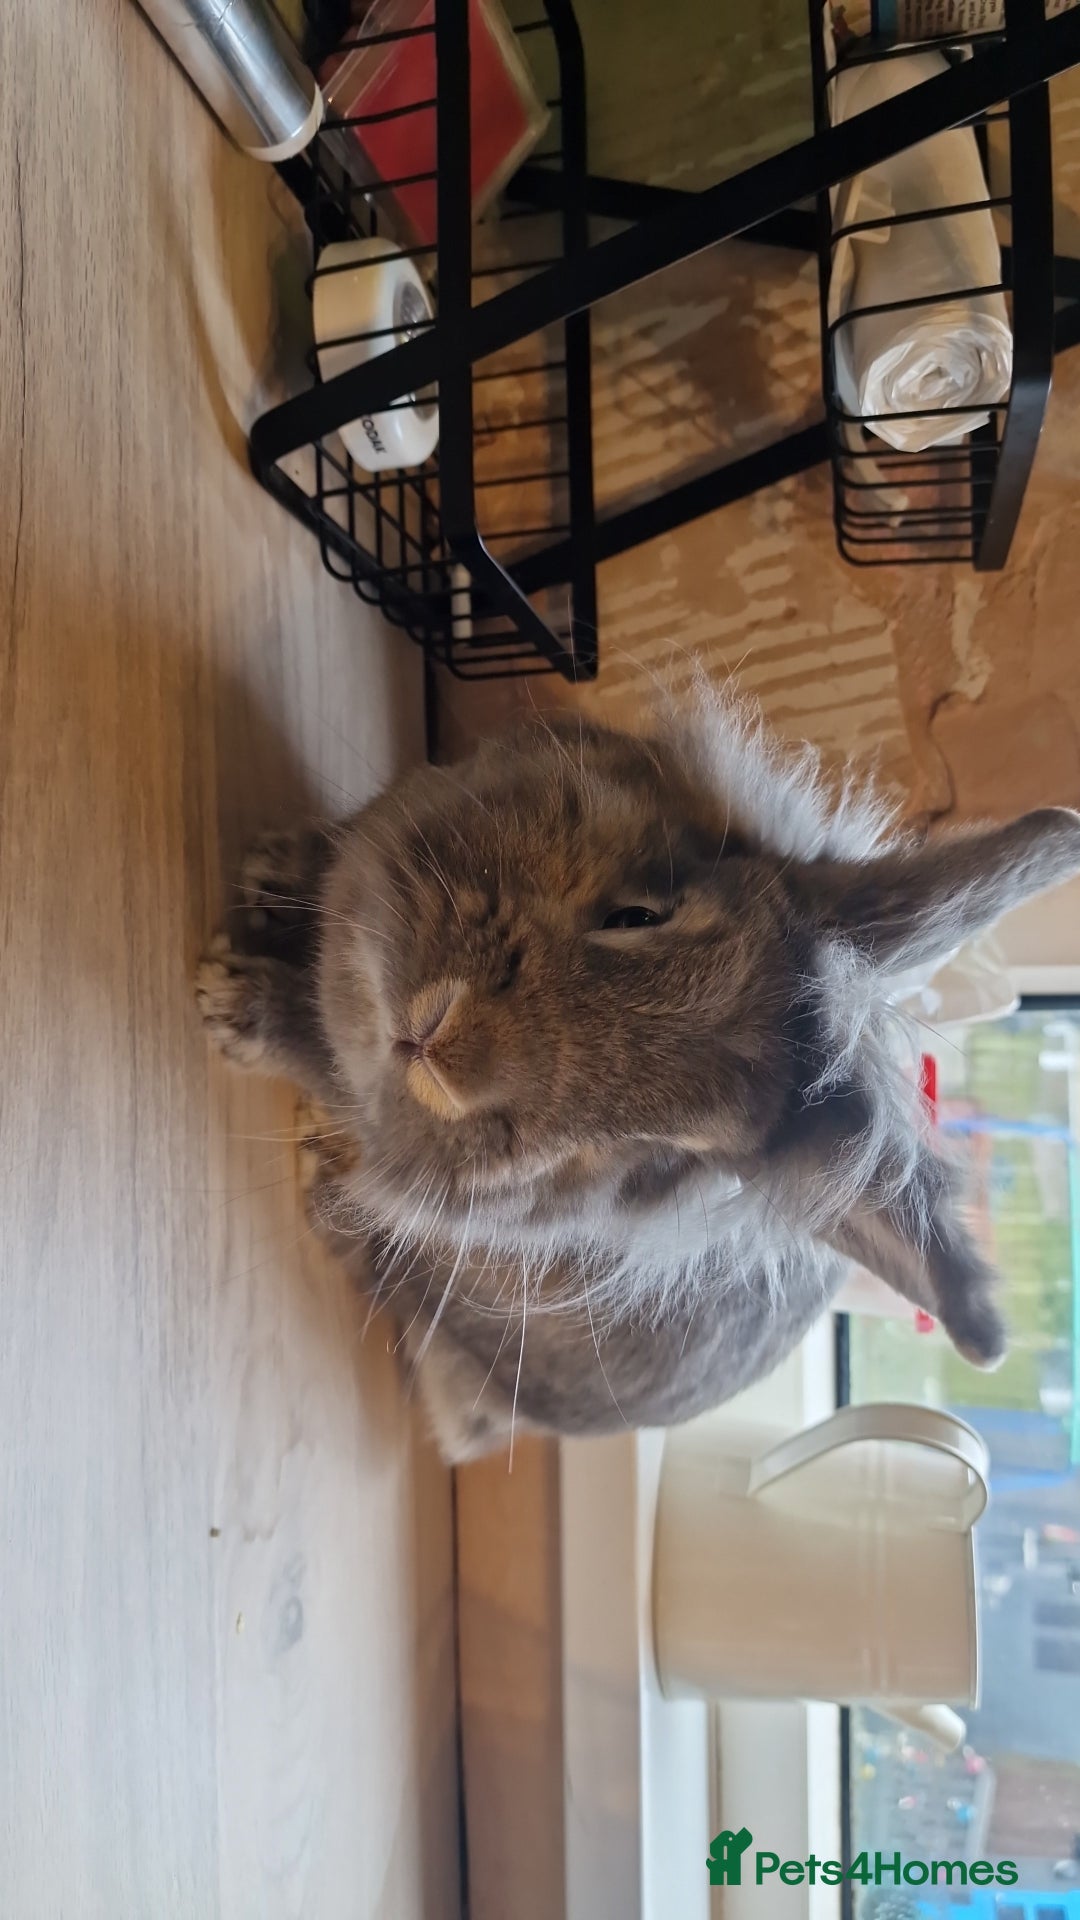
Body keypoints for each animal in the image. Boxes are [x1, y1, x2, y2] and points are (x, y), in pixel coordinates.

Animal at [196, 689, 1080, 1462]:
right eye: (638, 915)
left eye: (656, 1149)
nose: (450, 1055)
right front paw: (271, 872)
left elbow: (316, 1047)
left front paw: (234, 1002)